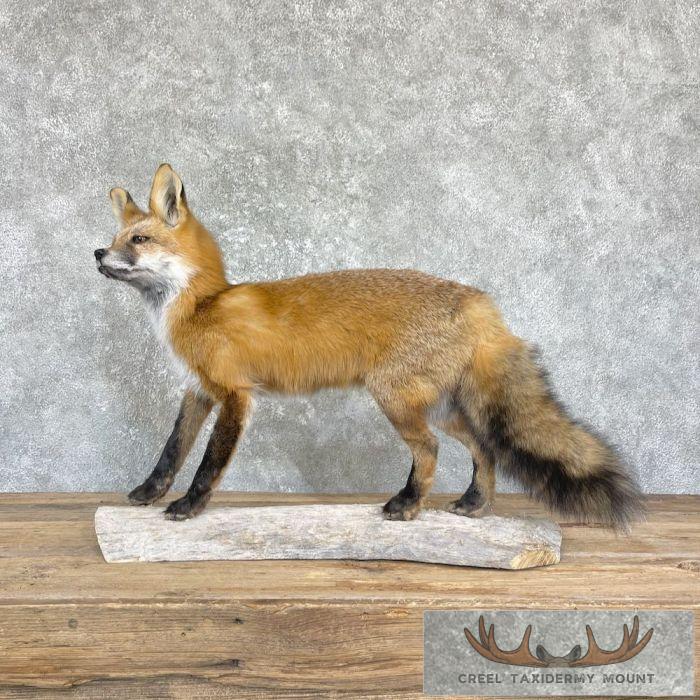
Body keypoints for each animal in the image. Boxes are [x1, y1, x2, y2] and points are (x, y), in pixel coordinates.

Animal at [94, 164, 644, 528]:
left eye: (138, 240)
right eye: (117, 236)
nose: (97, 252)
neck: (202, 305)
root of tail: (480, 302)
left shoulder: (234, 395)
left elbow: (208, 463)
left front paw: (189, 507)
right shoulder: (197, 391)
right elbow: (172, 450)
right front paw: (147, 493)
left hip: (395, 398)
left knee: (430, 450)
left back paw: (407, 505)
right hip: (440, 405)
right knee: (482, 446)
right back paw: (473, 505)